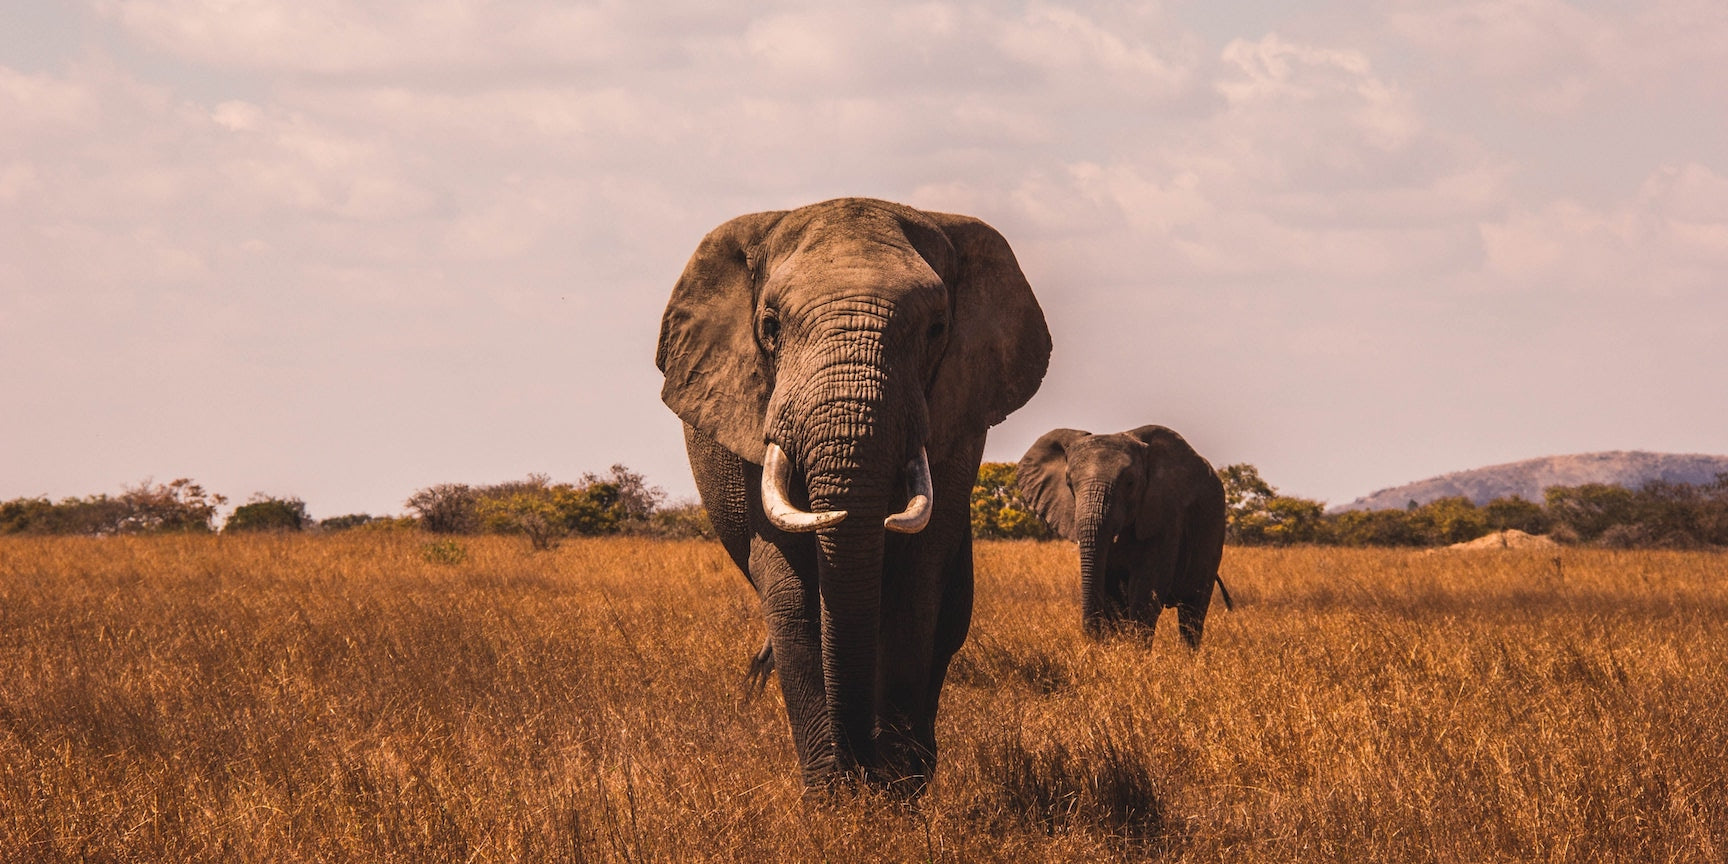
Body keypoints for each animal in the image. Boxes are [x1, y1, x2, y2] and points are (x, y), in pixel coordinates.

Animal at [655, 198, 1050, 793]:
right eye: (770, 326)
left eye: (937, 329)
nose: (861, 767)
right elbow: (792, 594)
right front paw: (833, 796)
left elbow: (915, 589)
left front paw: (896, 791)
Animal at [1016, 425, 1231, 643]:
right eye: (1069, 484)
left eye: (1130, 483)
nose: (1092, 637)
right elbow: (1113, 595)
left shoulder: (1166, 515)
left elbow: (1146, 591)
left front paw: (1135, 651)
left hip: (1213, 530)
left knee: (1193, 610)